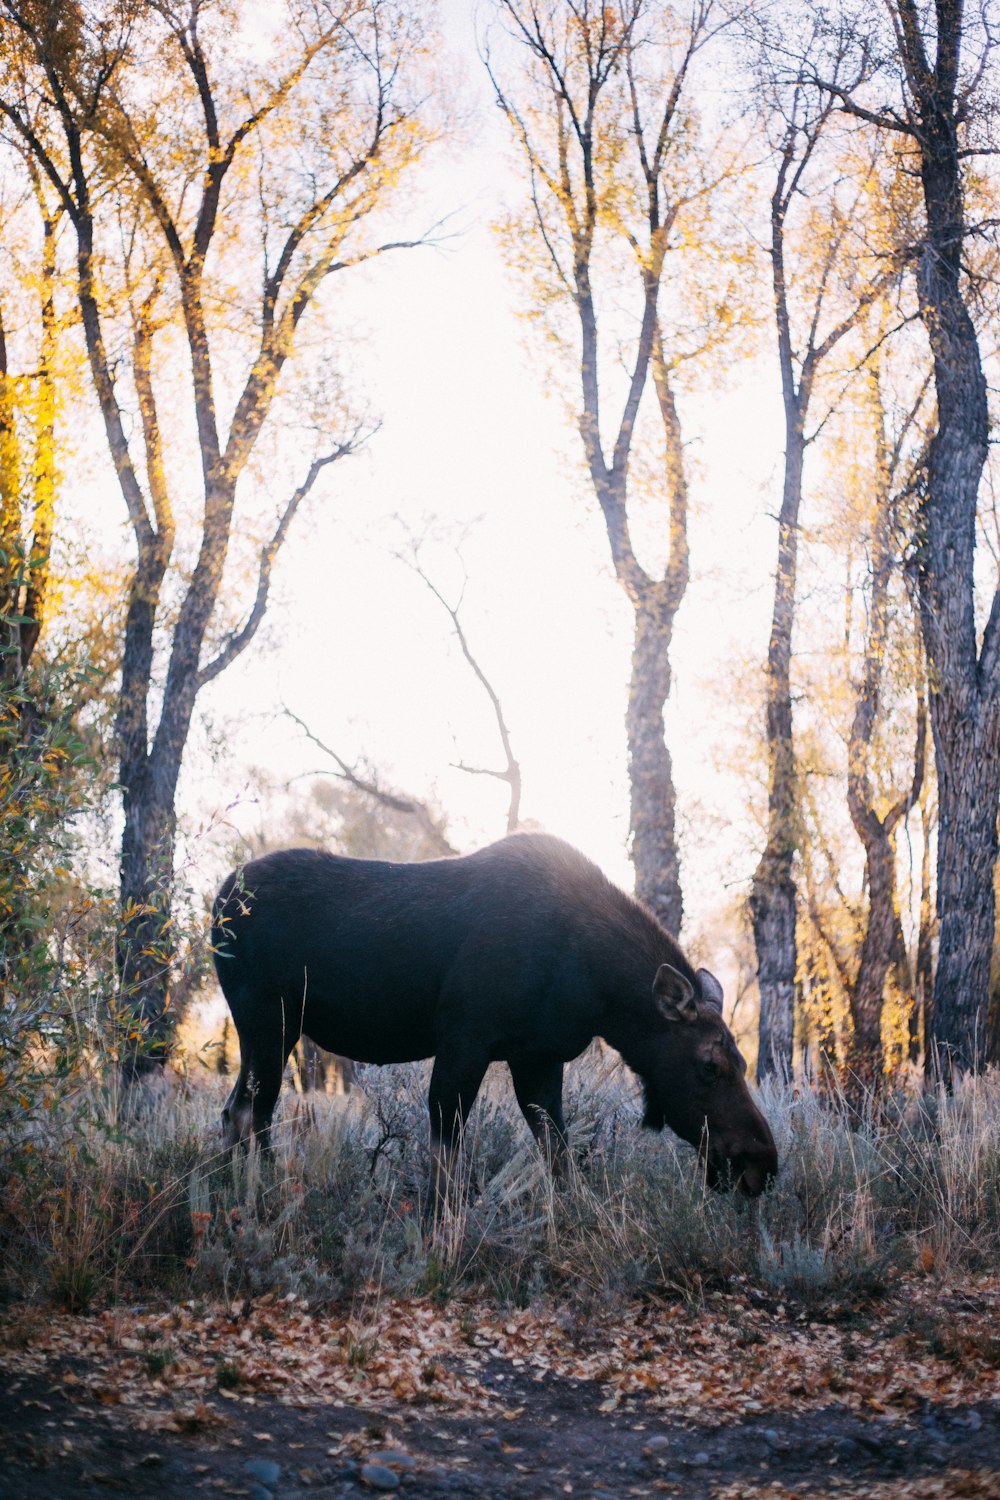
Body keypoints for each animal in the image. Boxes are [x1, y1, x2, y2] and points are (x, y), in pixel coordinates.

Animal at [212, 840, 779, 1200]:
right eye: (709, 1066)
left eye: (743, 1061)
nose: (763, 1165)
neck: (595, 989)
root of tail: (218, 902)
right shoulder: (465, 1037)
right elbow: (447, 1150)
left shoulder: (538, 1058)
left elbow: (558, 1154)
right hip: (267, 1020)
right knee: (248, 1112)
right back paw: (257, 1196)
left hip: (270, 1030)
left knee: (238, 1111)